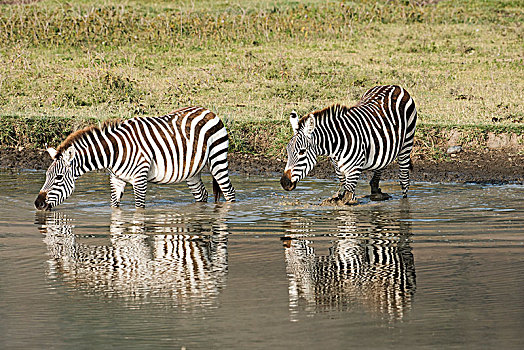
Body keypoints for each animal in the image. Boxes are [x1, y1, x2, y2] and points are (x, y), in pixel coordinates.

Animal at [34, 105, 235, 209]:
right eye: (46, 176)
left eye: (59, 178)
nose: (37, 204)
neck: (113, 152)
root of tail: (208, 110)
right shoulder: (116, 179)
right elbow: (114, 208)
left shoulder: (140, 177)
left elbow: (139, 209)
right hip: (192, 171)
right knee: (202, 195)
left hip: (217, 159)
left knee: (229, 192)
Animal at [280, 85, 420, 205]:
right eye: (287, 151)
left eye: (302, 152)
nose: (284, 183)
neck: (336, 144)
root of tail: (395, 86)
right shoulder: (339, 170)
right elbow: (344, 191)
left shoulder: (354, 170)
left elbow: (346, 201)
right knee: (382, 162)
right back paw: (376, 192)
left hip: (407, 142)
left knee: (404, 179)